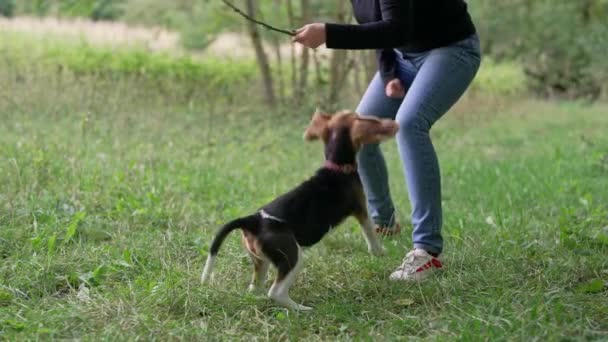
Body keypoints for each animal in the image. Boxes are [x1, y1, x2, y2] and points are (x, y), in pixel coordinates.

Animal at [200, 109, 400, 310]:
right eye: (361, 118)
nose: (392, 124)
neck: (337, 166)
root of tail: (253, 220)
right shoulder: (360, 208)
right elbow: (370, 232)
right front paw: (380, 251)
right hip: (292, 256)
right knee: (276, 292)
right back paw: (301, 309)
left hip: (260, 260)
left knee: (255, 287)